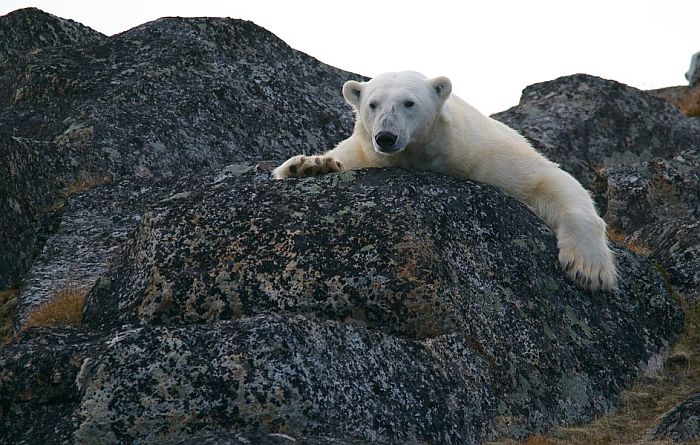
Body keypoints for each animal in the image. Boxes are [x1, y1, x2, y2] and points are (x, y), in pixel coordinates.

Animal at [274, 70, 616, 292]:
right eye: (372, 104)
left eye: (409, 103)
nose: (385, 136)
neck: (422, 155)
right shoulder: (364, 151)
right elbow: (332, 159)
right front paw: (310, 166)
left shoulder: (484, 154)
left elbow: (549, 180)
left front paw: (589, 269)